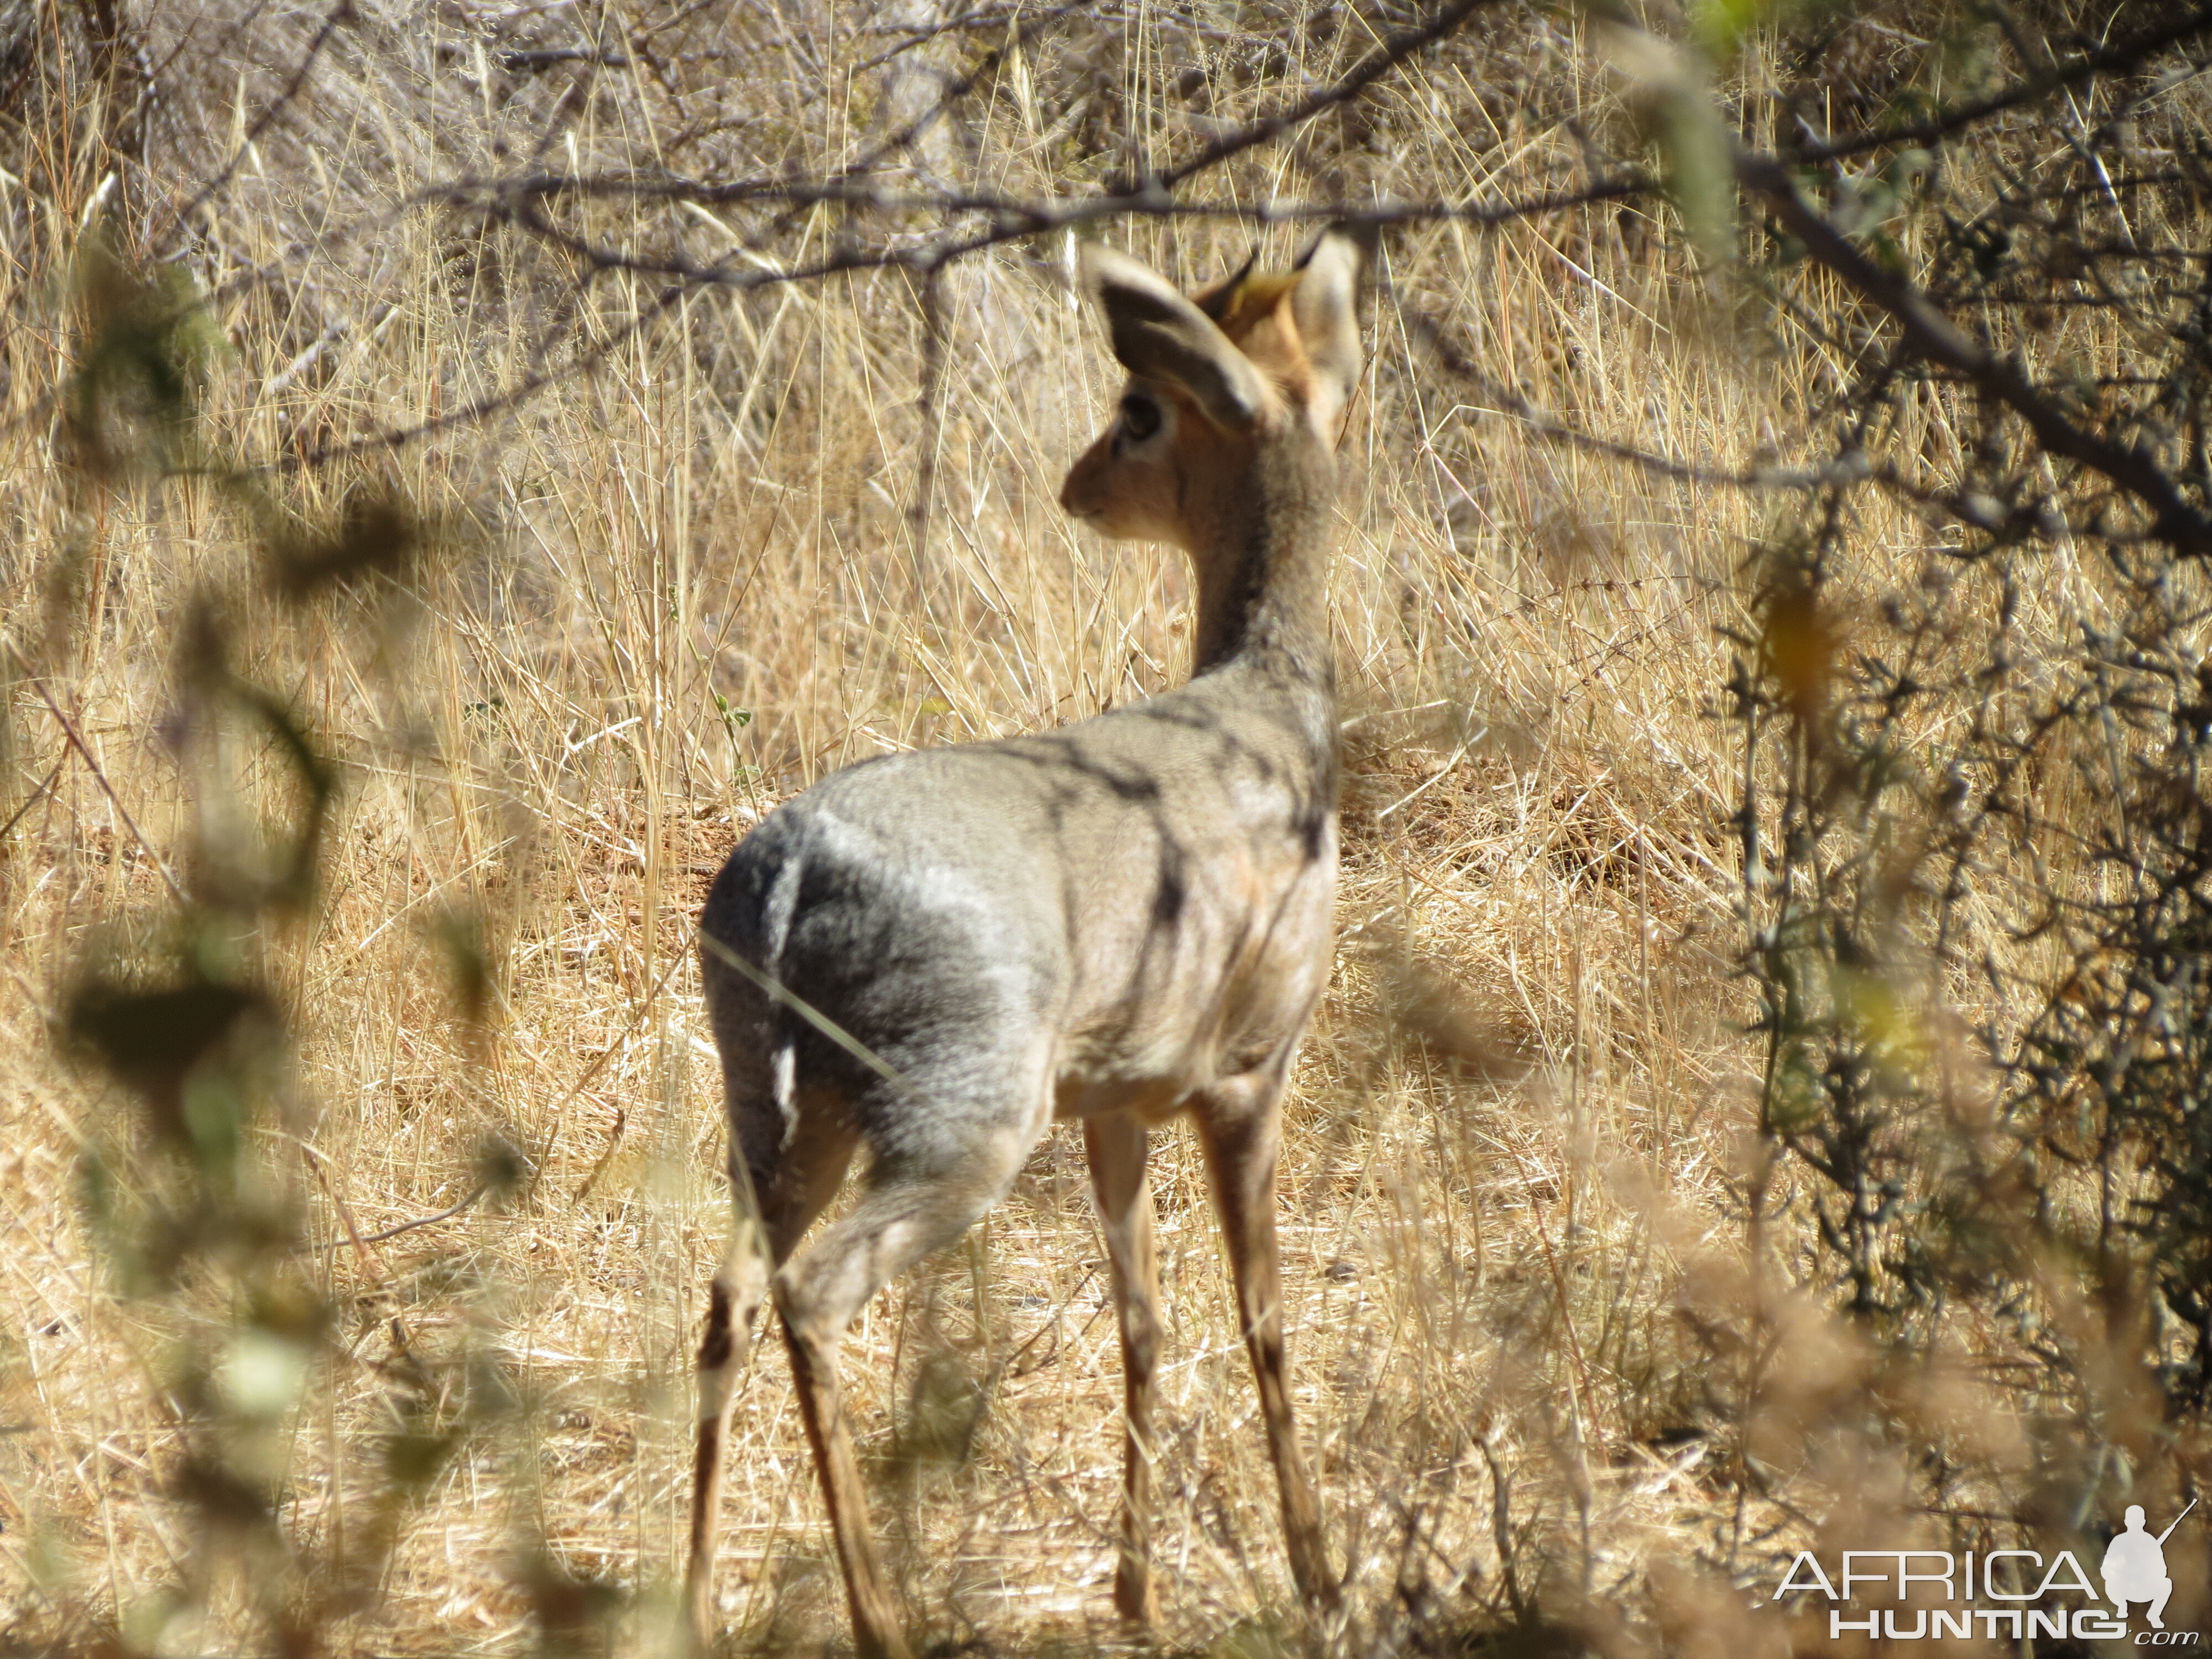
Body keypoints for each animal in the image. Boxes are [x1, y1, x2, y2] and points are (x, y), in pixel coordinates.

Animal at [690, 234, 1354, 1659]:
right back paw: (881, 1618)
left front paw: (1137, 1596)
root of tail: (785, 879)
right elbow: (1264, 1315)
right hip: (963, 1106)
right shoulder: (1249, 1065)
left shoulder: (1116, 1097)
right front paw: (1320, 1576)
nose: (1076, 482)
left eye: (1136, 413)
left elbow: (1142, 1320)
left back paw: (692, 1599)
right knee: (813, 1292)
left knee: (728, 1297)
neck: (1276, 706)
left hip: (776, 1106)